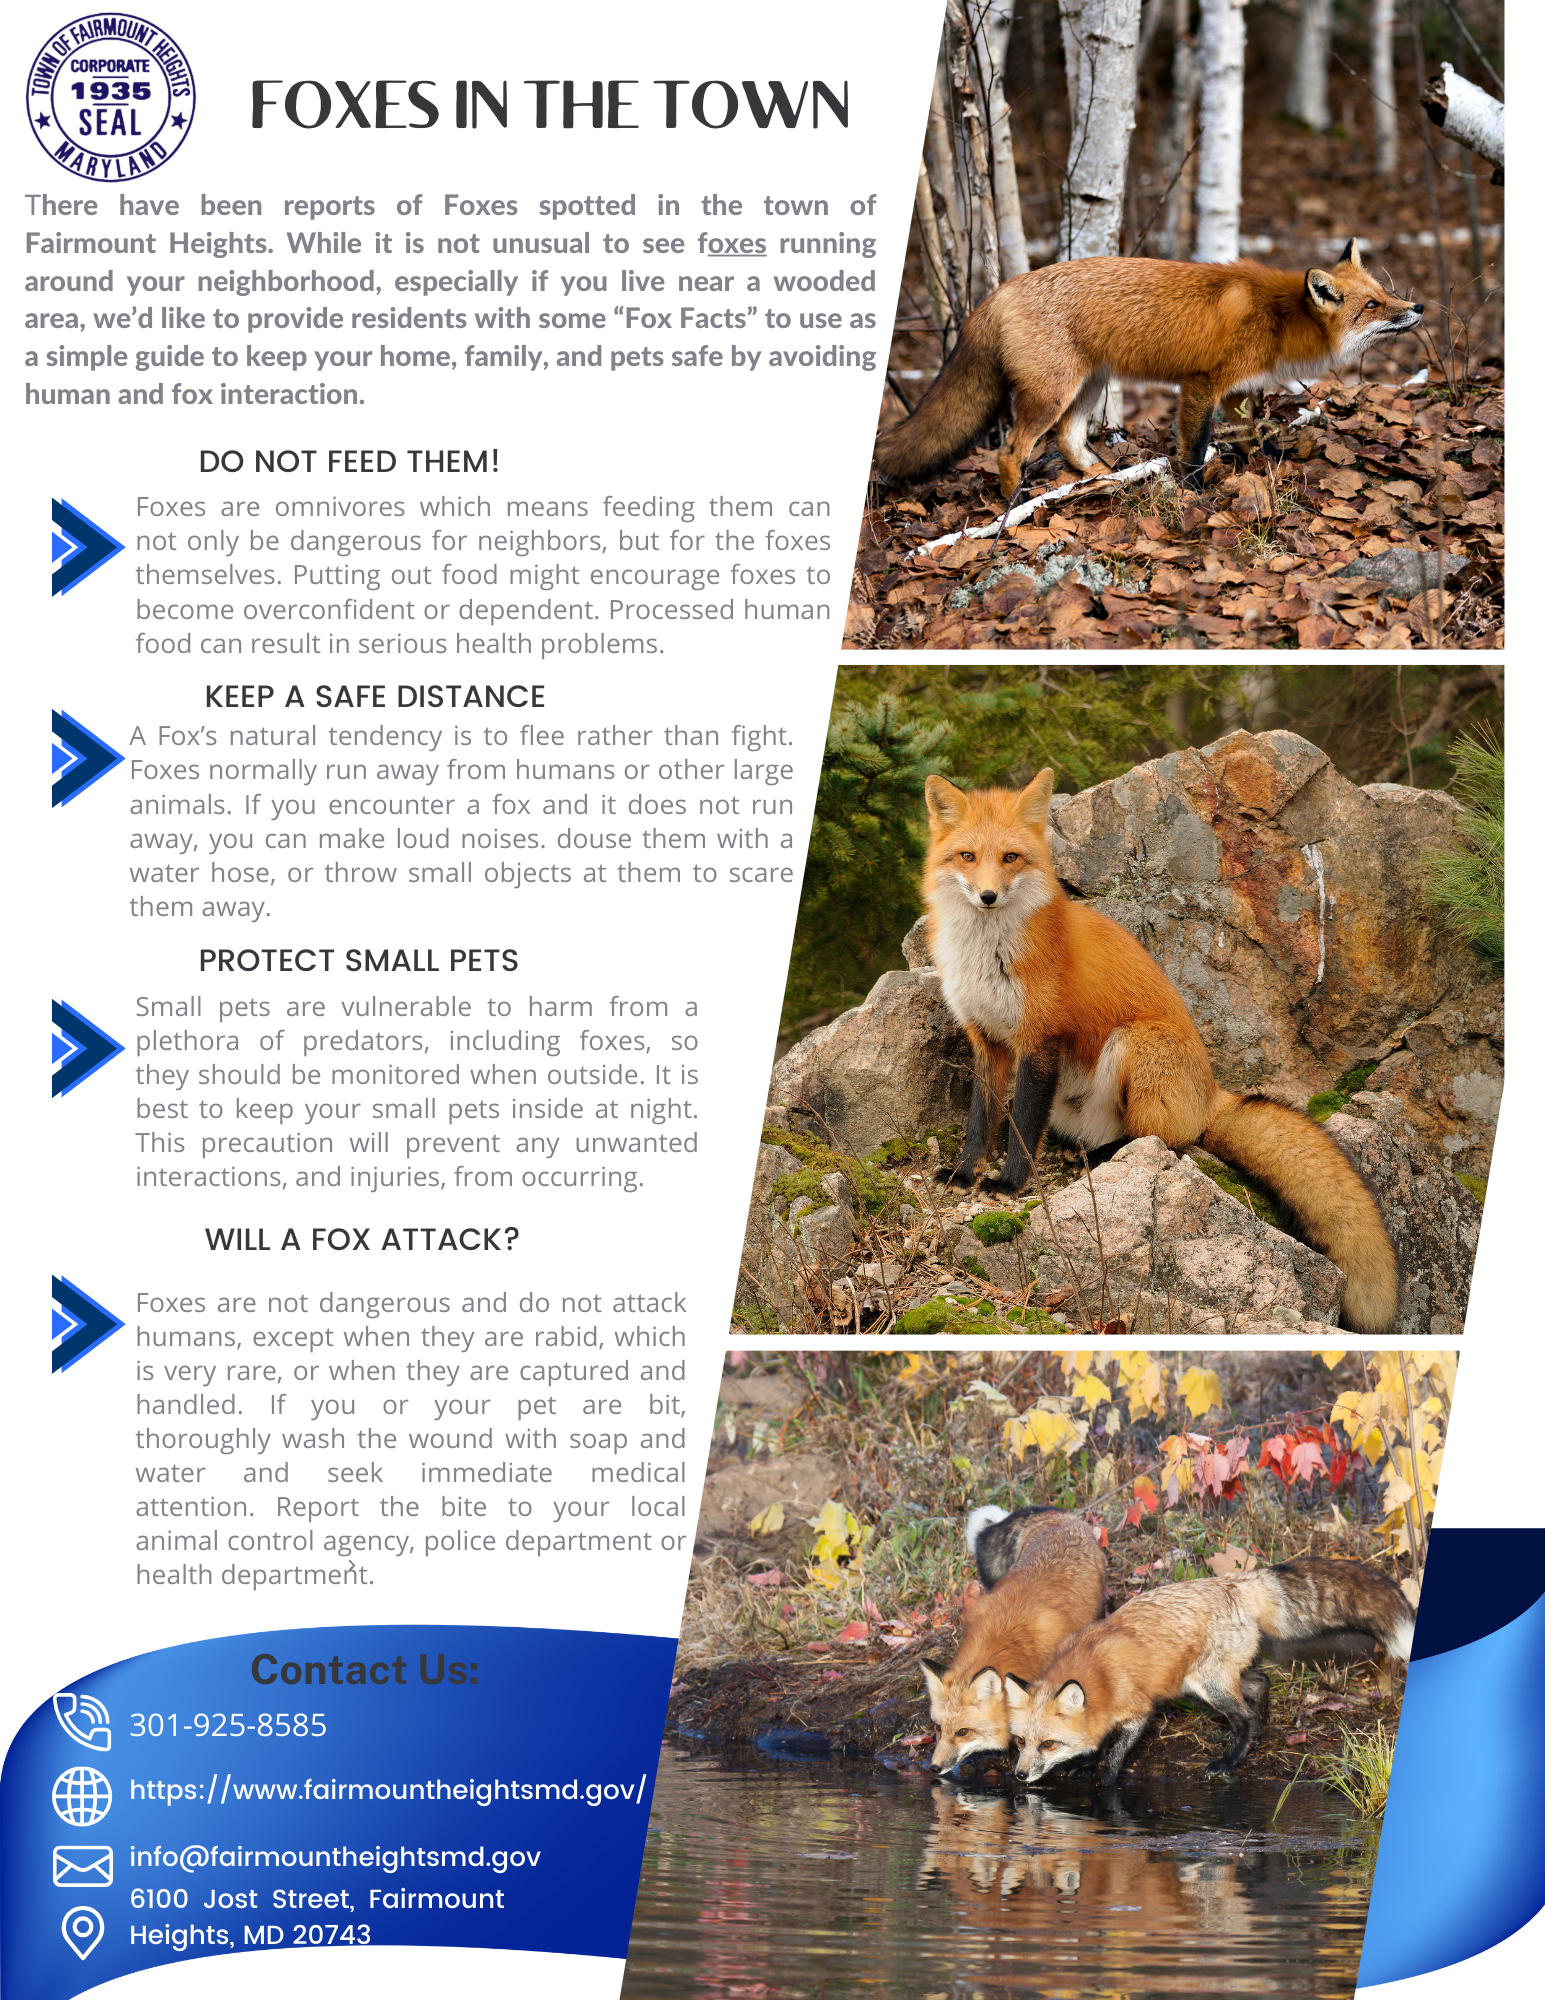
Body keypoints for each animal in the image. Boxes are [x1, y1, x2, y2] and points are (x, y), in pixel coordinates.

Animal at [874, 242, 1422, 499]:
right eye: (1372, 305)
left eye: (1385, 292)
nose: (1416, 307)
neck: (1277, 316)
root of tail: (997, 293)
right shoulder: (1201, 385)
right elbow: (1195, 447)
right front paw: (1194, 492)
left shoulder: (1236, 392)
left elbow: (1254, 435)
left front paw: (1270, 463)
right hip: (1052, 393)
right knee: (1010, 451)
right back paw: (1014, 506)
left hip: (1089, 385)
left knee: (1068, 441)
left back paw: (1102, 478)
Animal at [921, 768, 1399, 1334]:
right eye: (968, 856)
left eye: (1011, 857)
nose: (989, 896)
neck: (986, 953)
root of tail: (1212, 1091)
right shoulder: (987, 1039)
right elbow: (981, 1118)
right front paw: (965, 1173)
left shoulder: (1039, 1040)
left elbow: (1021, 1124)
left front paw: (1010, 1183)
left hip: (1133, 1044)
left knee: (1164, 1140)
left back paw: (1103, 1158)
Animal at [1005, 1557, 1415, 1786]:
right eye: (1020, 1742)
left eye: (1048, 1744)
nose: (1019, 1776)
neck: (1097, 1673)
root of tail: (1237, 1582)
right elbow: (1099, 1740)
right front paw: (1085, 1762)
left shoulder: (1139, 1713)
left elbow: (1116, 1752)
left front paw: (1104, 1779)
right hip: (1204, 1682)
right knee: (1260, 1682)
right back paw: (1257, 1730)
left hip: (1210, 1685)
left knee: (1245, 1716)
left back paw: (1231, 1758)